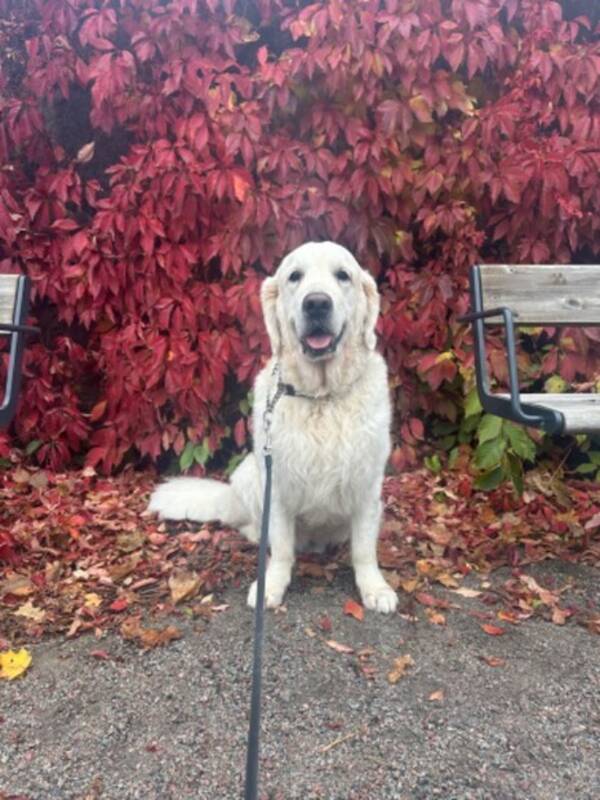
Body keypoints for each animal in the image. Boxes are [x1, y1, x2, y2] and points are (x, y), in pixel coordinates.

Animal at [149, 241, 398, 616]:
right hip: (249, 471)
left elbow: (364, 549)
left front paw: (374, 587)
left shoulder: (367, 485)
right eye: (295, 276)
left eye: (343, 275)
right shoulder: (277, 484)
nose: (317, 303)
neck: (320, 396)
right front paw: (272, 585)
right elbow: (280, 546)